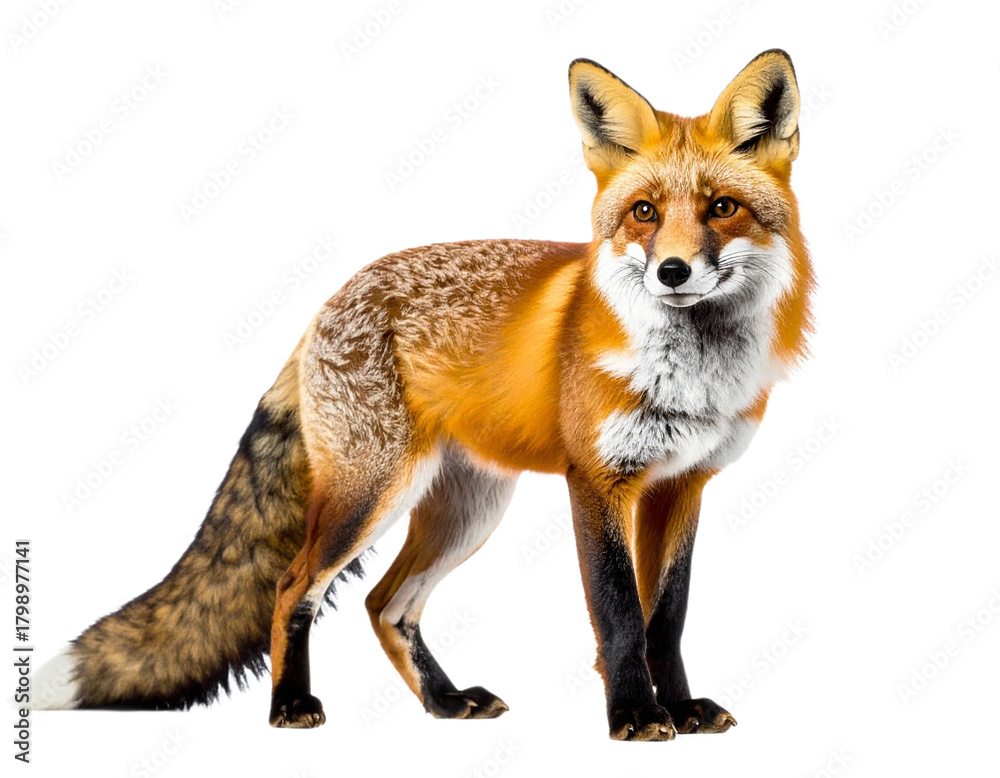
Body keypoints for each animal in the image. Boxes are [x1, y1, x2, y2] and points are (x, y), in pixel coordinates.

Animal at [34, 50, 813, 741]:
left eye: (722, 207)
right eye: (644, 212)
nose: (673, 272)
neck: (690, 377)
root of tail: (329, 301)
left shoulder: (683, 485)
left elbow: (667, 618)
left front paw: (680, 711)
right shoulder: (598, 482)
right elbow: (621, 616)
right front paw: (635, 717)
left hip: (467, 510)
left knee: (385, 604)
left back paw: (444, 703)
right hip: (371, 492)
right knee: (294, 586)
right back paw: (290, 706)